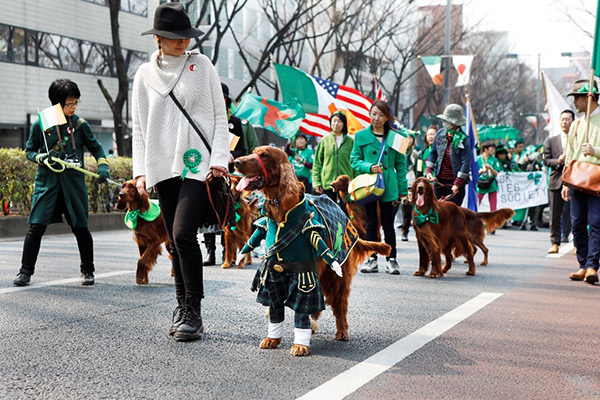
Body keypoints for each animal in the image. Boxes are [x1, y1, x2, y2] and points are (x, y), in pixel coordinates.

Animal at [232, 147, 392, 356]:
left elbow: (303, 308)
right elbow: (276, 308)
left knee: (340, 304)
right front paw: (272, 339)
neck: (282, 210)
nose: (236, 162)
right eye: (252, 152)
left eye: (264, 155)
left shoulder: (305, 273)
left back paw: (341, 331)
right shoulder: (275, 274)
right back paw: (313, 325)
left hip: (336, 278)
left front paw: (300, 344)